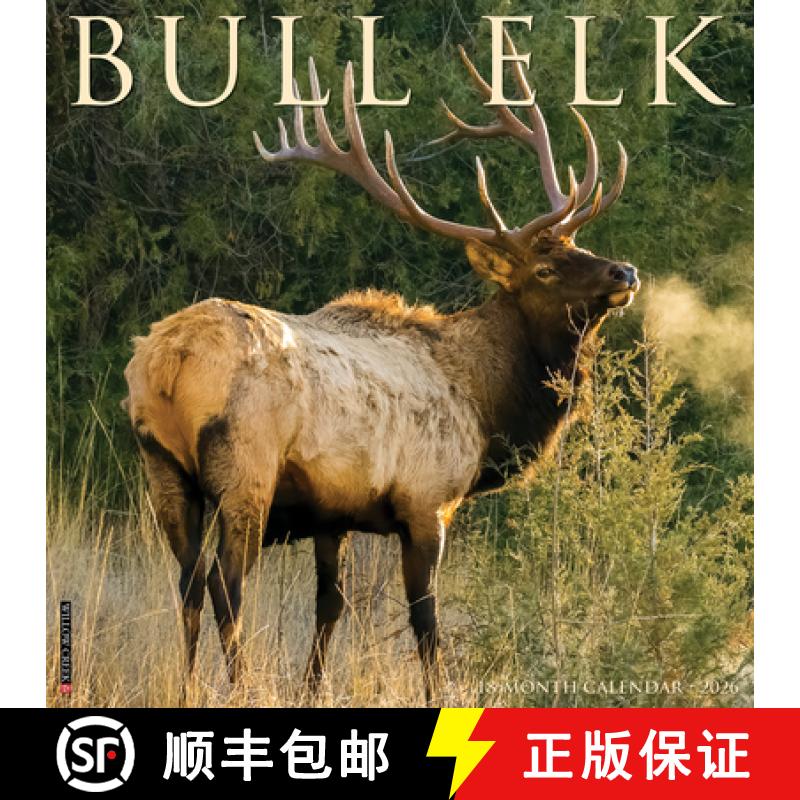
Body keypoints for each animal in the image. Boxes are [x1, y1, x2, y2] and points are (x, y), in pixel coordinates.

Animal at [123, 33, 639, 704]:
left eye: (579, 246)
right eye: (546, 269)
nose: (624, 272)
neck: (488, 404)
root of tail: (169, 359)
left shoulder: (332, 513)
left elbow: (331, 606)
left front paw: (311, 689)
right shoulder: (427, 500)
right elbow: (426, 619)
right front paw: (440, 694)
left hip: (161, 467)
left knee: (186, 583)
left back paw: (185, 690)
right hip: (246, 469)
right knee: (224, 586)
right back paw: (239, 687)